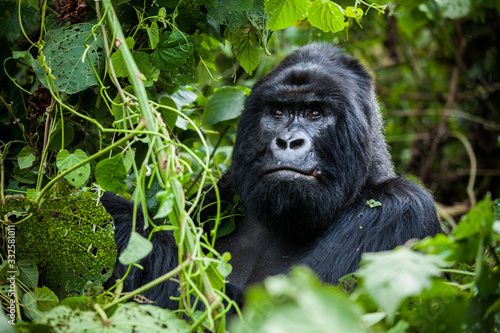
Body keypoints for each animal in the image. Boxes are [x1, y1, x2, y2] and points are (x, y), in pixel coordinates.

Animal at [100, 42, 442, 310]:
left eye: (315, 113)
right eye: (278, 112)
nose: (288, 141)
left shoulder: (401, 209)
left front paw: (117, 216)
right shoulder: (225, 189)